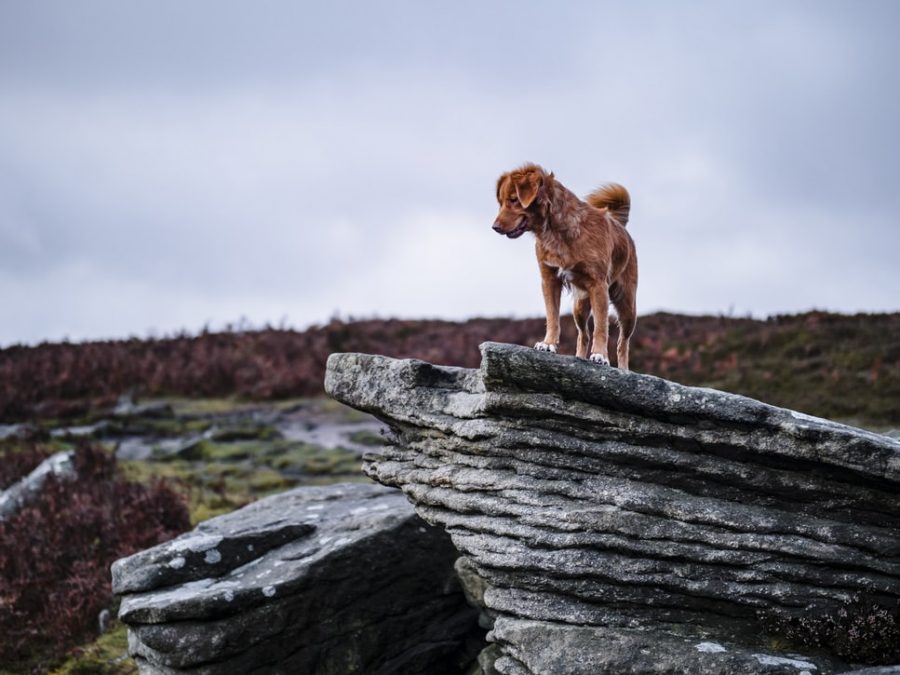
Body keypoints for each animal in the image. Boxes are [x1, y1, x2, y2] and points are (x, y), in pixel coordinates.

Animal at [492, 165, 640, 370]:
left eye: (514, 200)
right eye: (501, 202)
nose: (494, 227)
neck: (556, 230)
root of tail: (620, 226)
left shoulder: (599, 285)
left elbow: (601, 326)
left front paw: (600, 355)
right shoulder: (549, 279)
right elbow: (552, 317)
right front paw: (548, 344)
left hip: (627, 306)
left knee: (622, 342)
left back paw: (624, 369)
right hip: (580, 306)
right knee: (583, 335)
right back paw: (578, 358)